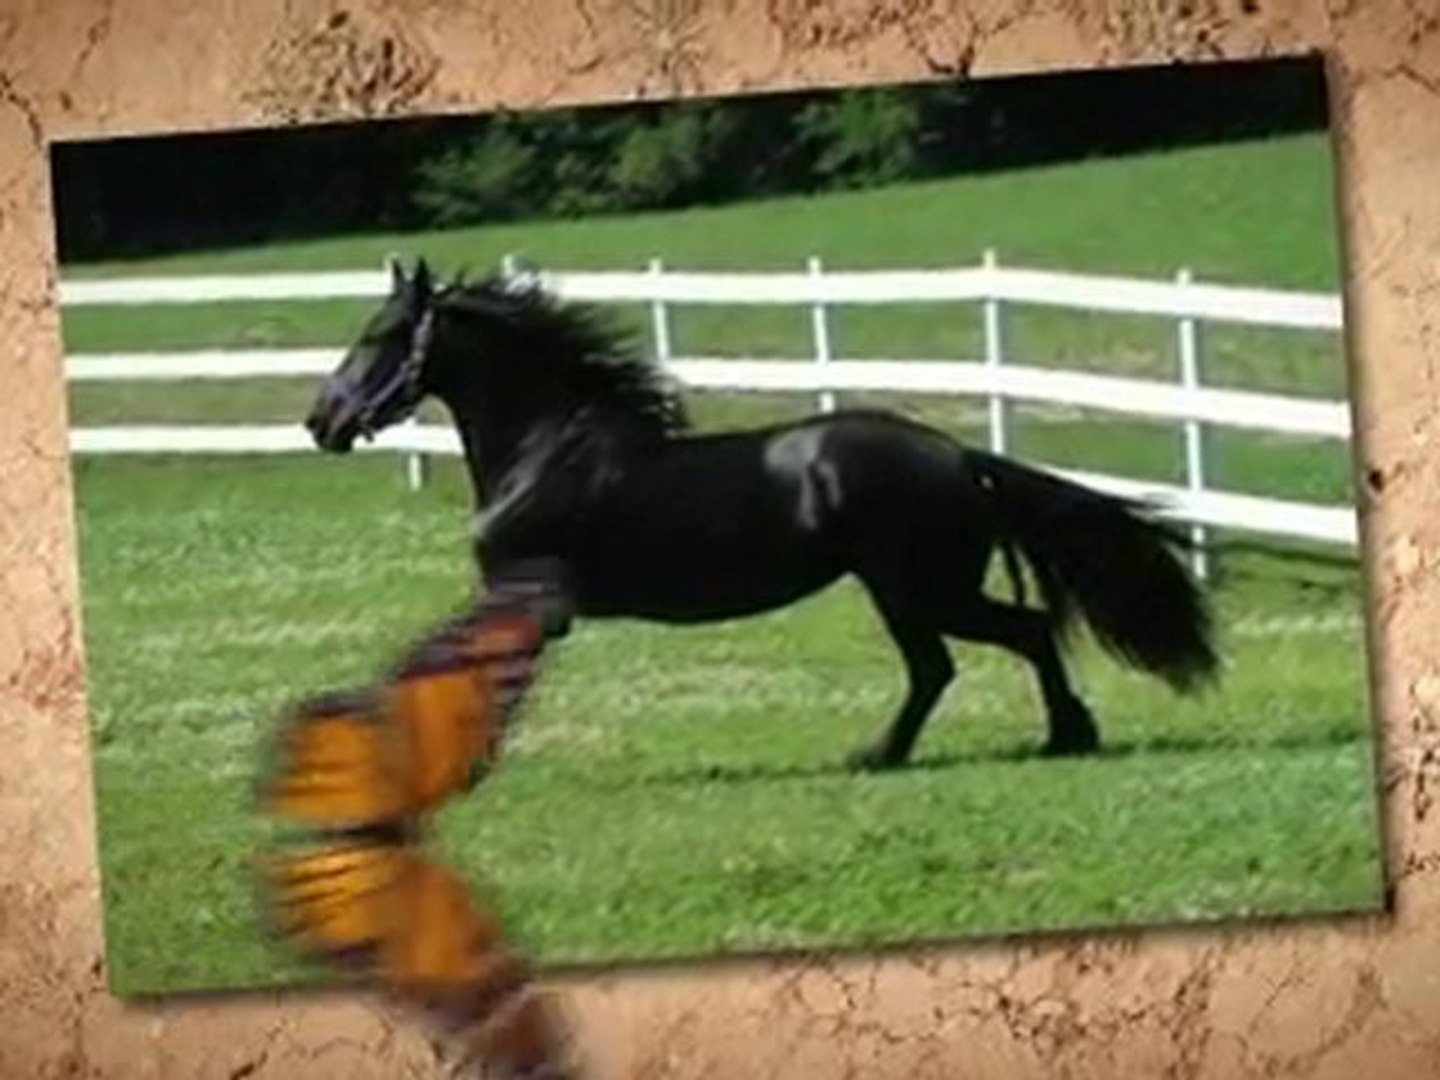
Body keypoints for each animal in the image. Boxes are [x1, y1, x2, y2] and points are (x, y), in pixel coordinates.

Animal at [303, 256, 1220, 772]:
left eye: (382, 333)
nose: (322, 421)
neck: (543, 451)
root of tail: (961, 457)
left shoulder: (530, 598)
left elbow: (469, 669)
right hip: (915, 590)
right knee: (984, 650)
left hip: (914, 589)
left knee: (979, 650)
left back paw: (932, 750)